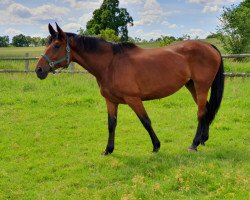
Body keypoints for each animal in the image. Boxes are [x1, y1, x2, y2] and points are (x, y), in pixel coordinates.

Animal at [35, 23, 225, 155]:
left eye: (56, 46)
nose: (39, 70)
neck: (110, 64)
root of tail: (209, 46)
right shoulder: (111, 101)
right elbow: (111, 124)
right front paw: (108, 150)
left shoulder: (133, 99)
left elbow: (146, 121)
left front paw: (156, 146)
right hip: (191, 85)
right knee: (206, 110)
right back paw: (203, 140)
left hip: (201, 86)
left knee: (200, 113)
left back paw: (194, 144)